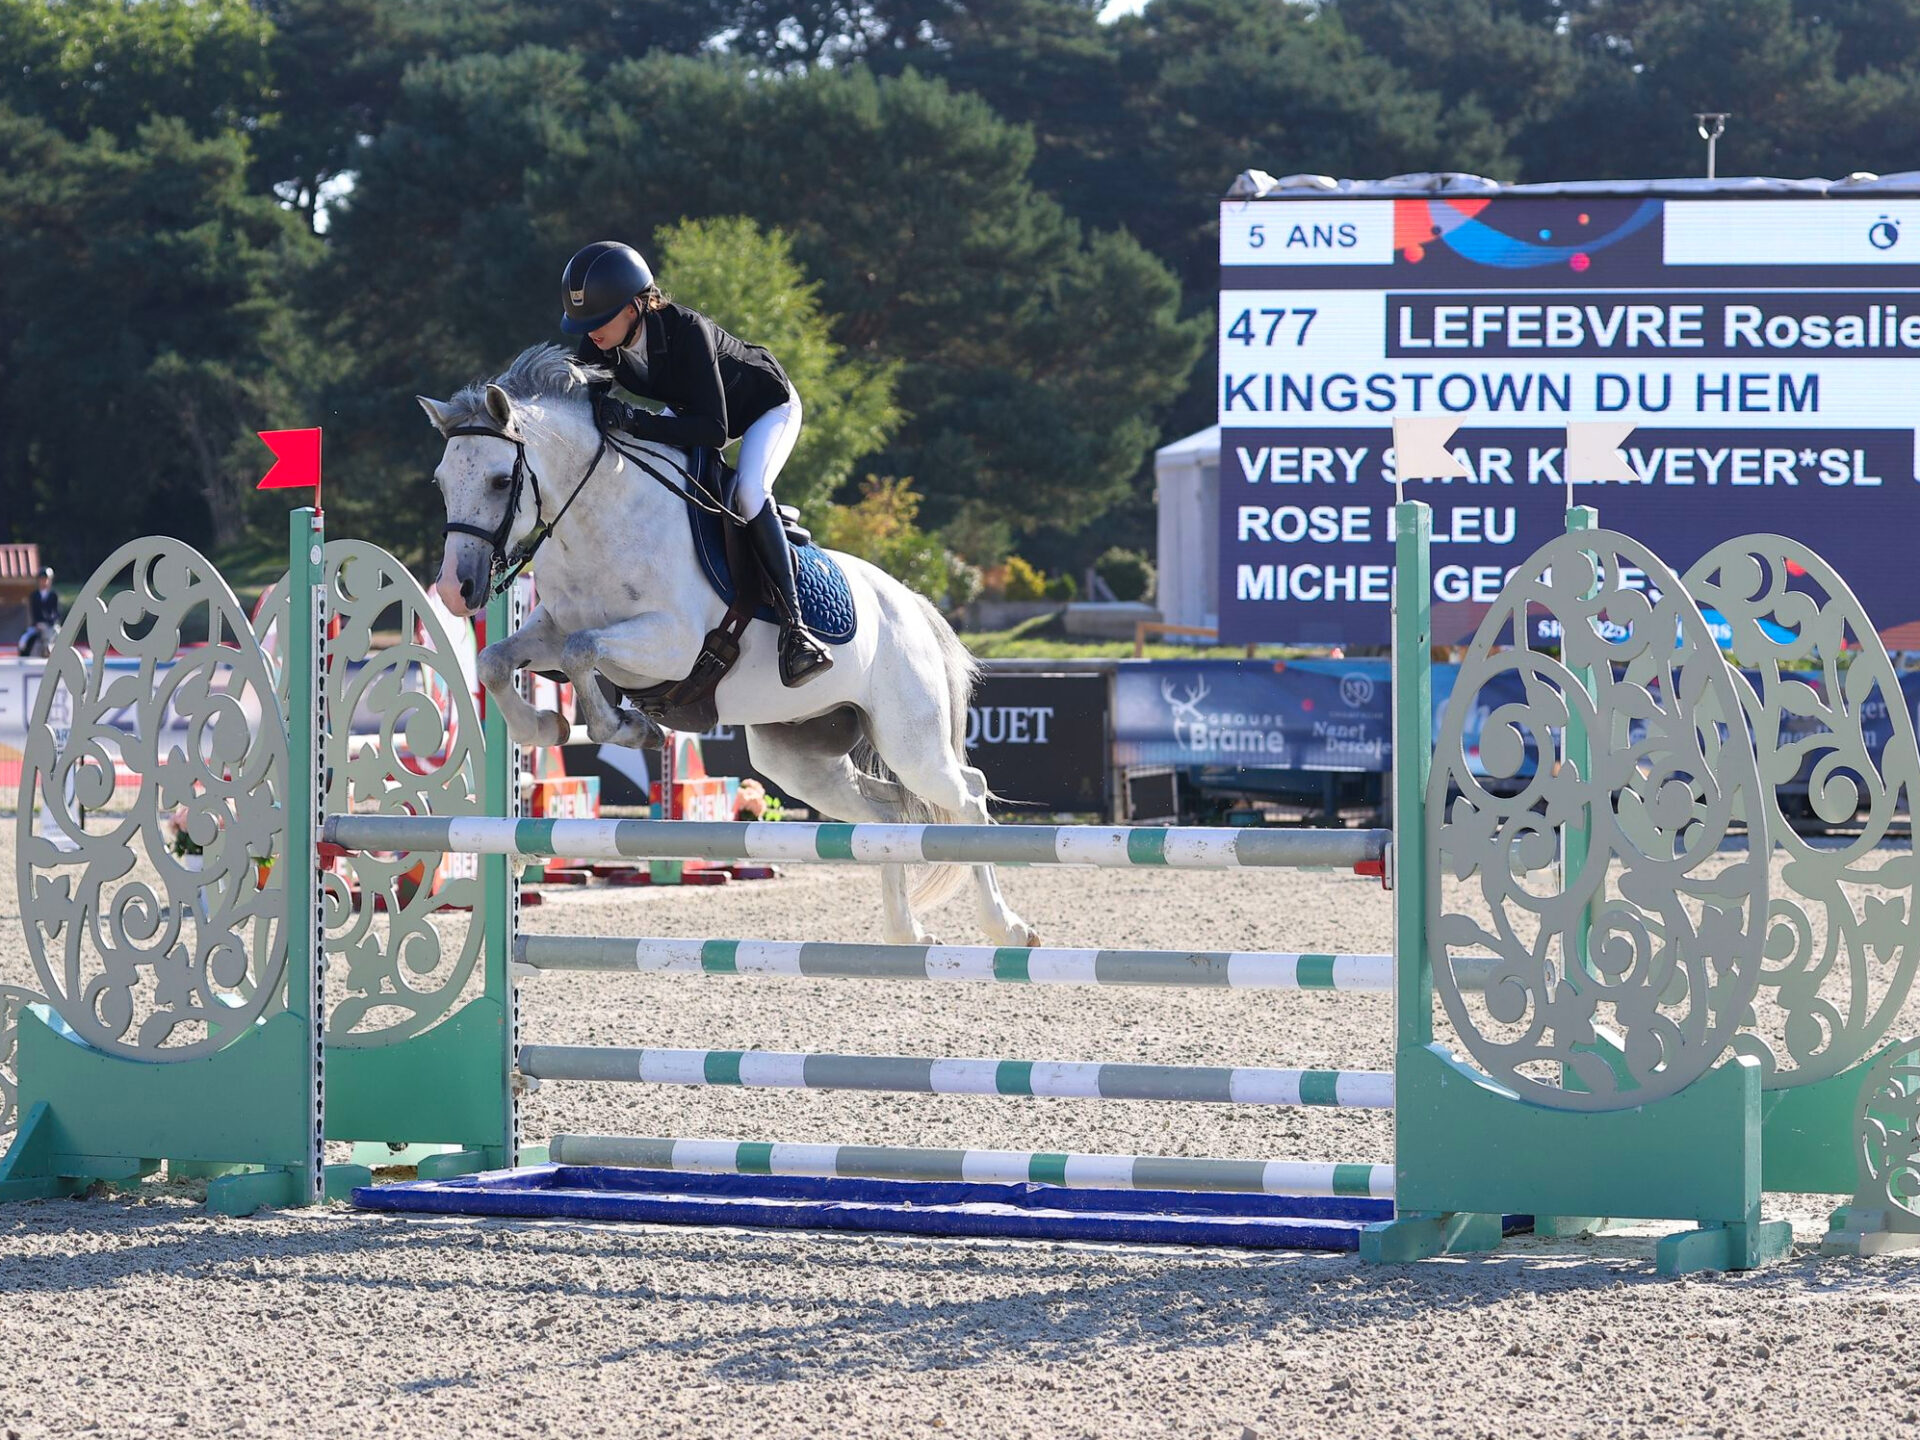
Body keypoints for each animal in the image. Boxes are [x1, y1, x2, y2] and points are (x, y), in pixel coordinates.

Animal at [418, 344, 1037, 947]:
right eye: (442, 482)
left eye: (501, 481)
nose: (454, 589)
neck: (597, 519)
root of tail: (913, 604)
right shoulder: (550, 629)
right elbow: (496, 660)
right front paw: (544, 728)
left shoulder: (672, 643)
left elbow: (583, 651)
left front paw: (629, 728)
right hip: (796, 756)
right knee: (884, 814)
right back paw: (904, 931)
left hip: (911, 741)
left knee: (968, 796)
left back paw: (1006, 927)